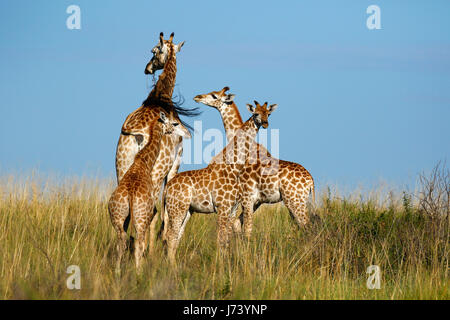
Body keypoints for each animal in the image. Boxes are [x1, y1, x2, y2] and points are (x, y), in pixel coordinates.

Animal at [108, 111, 178, 274]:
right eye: (171, 122)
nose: (172, 130)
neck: (143, 161)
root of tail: (130, 196)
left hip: (117, 216)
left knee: (122, 240)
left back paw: (118, 271)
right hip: (141, 217)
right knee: (138, 242)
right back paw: (138, 272)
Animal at [114, 31, 195, 254]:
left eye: (153, 51)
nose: (147, 68)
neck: (161, 97)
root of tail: (136, 135)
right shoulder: (175, 163)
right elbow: (166, 211)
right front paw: (164, 242)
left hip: (122, 167)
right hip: (155, 172)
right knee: (153, 211)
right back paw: (148, 250)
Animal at [160, 101, 276, 264]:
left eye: (268, 113)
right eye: (256, 113)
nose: (265, 123)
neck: (234, 168)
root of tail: (167, 188)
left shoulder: (232, 208)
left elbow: (226, 239)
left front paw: (227, 263)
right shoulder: (222, 207)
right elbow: (221, 239)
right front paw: (221, 265)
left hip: (187, 210)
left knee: (176, 236)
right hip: (177, 208)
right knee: (170, 236)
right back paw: (172, 267)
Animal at [194, 87, 316, 238]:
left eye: (214, 95)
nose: (197, 97)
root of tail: (311, 181)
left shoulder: (246, 197)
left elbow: (243, 228)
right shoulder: (255, 200)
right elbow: (237, 225)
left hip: (294, 199)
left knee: (306, 225)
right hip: (296, 200)